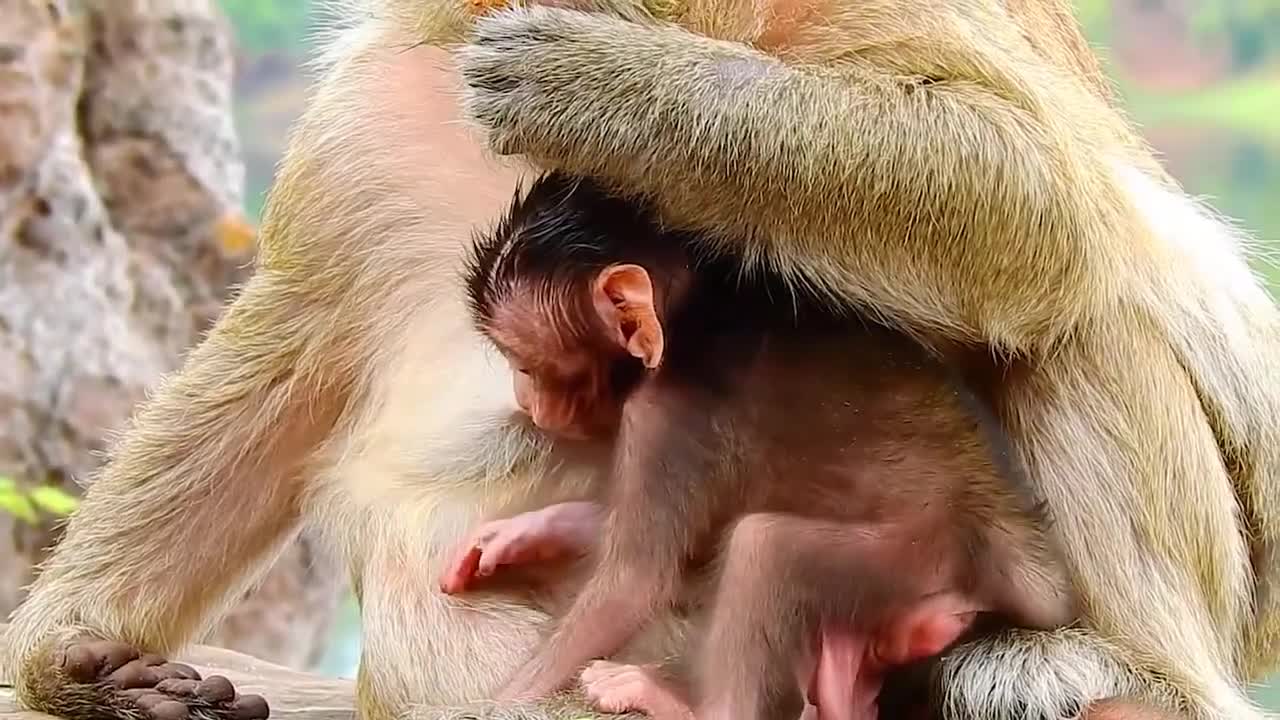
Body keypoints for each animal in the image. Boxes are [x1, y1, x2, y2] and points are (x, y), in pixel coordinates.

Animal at [450, 174, 1080, 717]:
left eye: (526, 365)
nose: (526, 401)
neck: (688, 320)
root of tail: (1012, 526)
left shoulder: (669, 421)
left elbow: (633, 583)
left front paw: (501, 703)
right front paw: (524, 533)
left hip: (922, 551)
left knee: (764, 551)